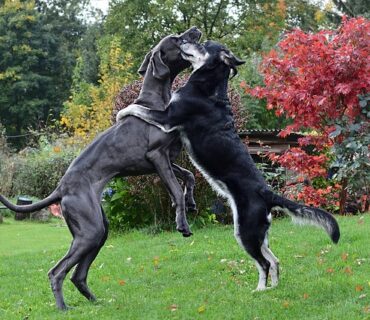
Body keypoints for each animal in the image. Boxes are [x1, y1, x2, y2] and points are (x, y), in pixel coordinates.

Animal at [0, 27, 201, 310]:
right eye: (177, 39)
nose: (194, 31)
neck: (155, 103)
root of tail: (61, 188)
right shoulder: (157, 156)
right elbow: (174, 187)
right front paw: (182, 223)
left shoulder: (165, 159)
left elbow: (189, 176)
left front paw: (191, 201)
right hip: (90, 229)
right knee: (56, 272)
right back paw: (63, 308)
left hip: (97, 229)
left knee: (78, 274)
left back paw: (96, 302)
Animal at [117, 41, 340, 292]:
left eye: (203, 44)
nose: (183, 41)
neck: (208, 85)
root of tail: (267, 192)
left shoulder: (168, 116)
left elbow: (140, 109)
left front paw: (122, 112)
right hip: (257, 233)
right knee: (274, 260)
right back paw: (272, 288)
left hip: (246, 231)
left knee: (264, 263)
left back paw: (259, 291)